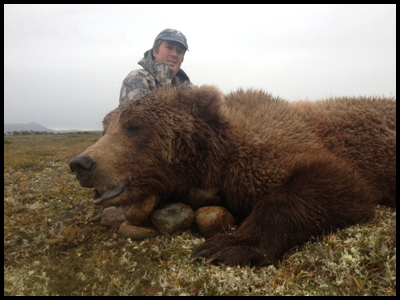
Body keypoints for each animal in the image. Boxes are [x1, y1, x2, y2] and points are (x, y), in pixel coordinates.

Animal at [70, 85, 396, 266]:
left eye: (133, 126)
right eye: (105, 128)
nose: (81, 163)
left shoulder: (276, 145)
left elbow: (338, 184)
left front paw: (226, 246)